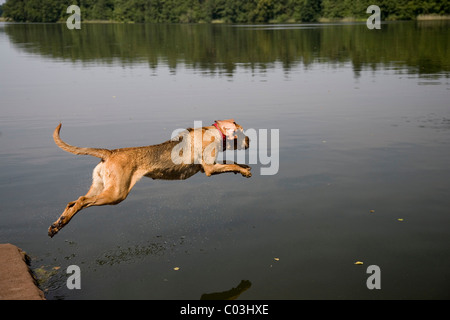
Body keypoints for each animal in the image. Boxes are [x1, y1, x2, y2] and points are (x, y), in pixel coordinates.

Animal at [49, 120, 253, 238]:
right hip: (115, 194)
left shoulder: (208, 167)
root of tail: (109, 153)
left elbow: (232, 162)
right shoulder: (210, 169)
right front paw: (244, 171)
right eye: (241, 133)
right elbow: (231, 165)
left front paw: (244, 168)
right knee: (82, 201)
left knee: (72, 202)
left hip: (102, 187)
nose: (250, 141)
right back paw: (60, 224)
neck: (217, 133)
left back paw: (58, 224)